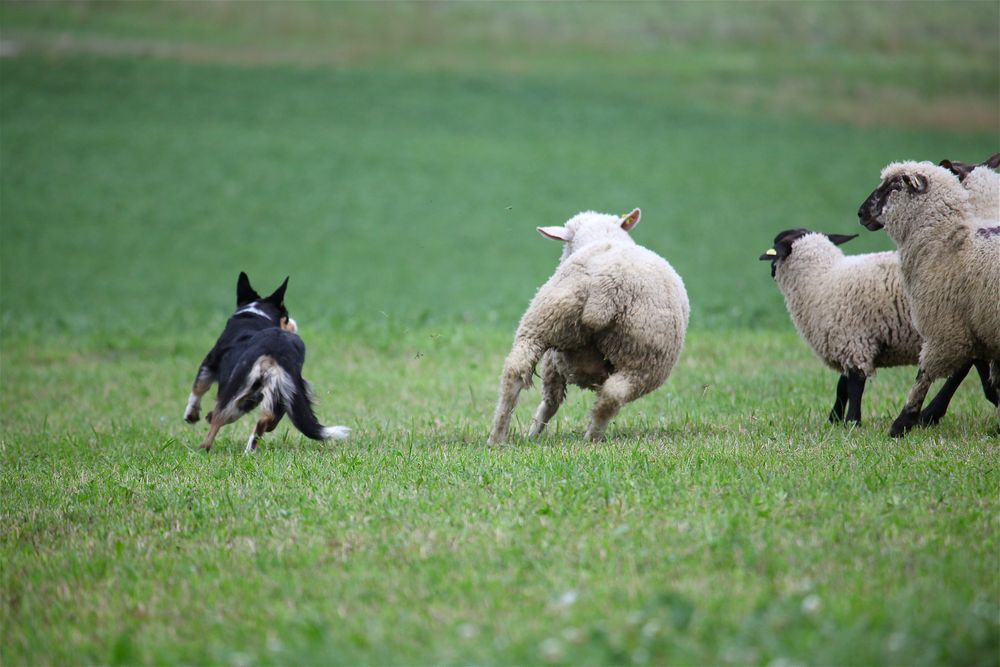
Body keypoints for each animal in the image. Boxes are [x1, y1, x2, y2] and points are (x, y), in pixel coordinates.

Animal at [185, 272, 352, 454]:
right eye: (286, 317)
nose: (294, 323)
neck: (256, 313)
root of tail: (277, 350)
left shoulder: (210, 362)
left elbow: (198, 388)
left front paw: (191, 415)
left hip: (238, 383)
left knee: (219, 418)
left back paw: (204, 448)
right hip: (285, 392)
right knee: (266, 420)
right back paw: (250, 449)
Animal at [488, 209, 692, 444]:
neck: (602, 236)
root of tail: (607, 287)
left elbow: (551, 399)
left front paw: (532, 433)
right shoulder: (554, 362)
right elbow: (552, 401)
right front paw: (534, 433)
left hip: (542, 322)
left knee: (514, 371)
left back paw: (497, 437)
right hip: (648, 359)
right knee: (611, 396)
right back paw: (592, 438)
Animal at [760, 230, 996, 426]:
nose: (770, 271)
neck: (822, 278)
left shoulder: (852, 338)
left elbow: (854, 384)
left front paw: (851, 422)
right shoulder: (850, 343)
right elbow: (842, 386)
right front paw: (835, 419)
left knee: (960, 370)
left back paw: (927, 415)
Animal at [860, 160, 1000, 436]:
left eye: (893, 187)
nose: (860, 213)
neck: (948, 241)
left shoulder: (946, 331)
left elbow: (923, 376)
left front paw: (902, 423)